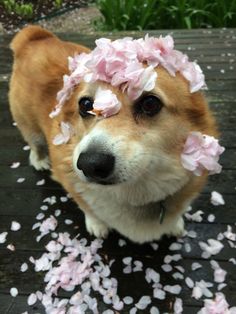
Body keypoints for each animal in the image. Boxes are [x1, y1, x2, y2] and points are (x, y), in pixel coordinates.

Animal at [7, 26, 221, 243]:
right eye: (86, 105)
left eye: (150, 103)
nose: (90, 164)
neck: (134, 192)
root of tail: (36, 37)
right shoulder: (70, 181)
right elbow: (88, 208)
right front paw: (97, 225)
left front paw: (175, 224)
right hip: (28, 125)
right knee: (34, 143)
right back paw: (40, 159)